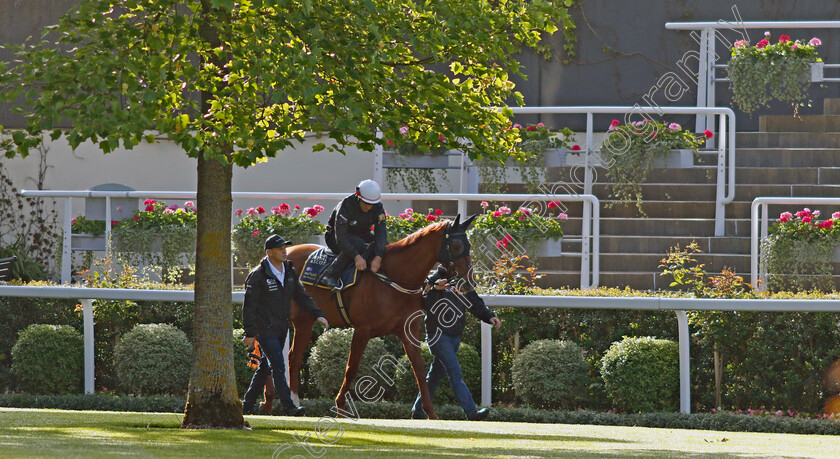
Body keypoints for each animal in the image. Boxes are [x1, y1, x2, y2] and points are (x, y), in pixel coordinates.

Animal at [286, 214, 476, 418]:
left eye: (469, 244)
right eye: (456, 245)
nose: (470, 280)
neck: (393, 276)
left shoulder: (407, 330)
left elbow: (419, 369)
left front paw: (430, 413)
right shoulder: (362, 330)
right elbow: (351, 368)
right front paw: (340, 408)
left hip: (305, 320)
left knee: (293, 357)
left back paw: (290, 402)